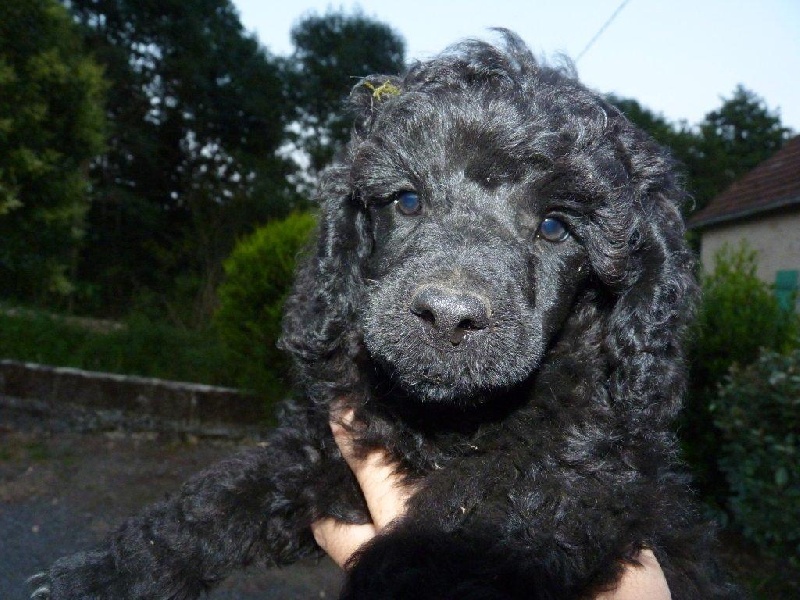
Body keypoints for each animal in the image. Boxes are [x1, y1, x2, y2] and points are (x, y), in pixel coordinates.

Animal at [32, 31, 741, 599]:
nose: (448, 316)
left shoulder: (590, 481)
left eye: (555, 227)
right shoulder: (324, 449)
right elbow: (215, 501)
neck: (446, 422)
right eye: (406, 201)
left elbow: (473, 518)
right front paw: (105, 574)